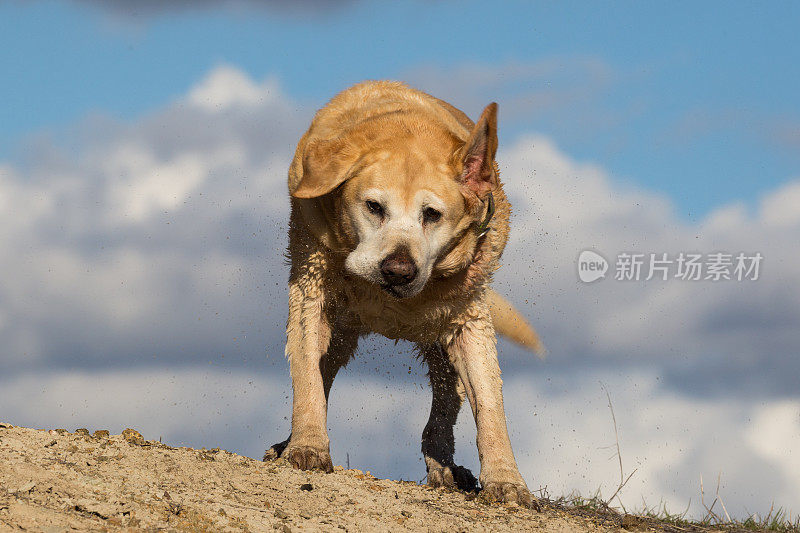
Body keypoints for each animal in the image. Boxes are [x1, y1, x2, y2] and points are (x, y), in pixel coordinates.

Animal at [266, 81, 540, 504]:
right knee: (322, 371)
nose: (397, 270)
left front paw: (505, 480)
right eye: (373, 206)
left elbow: (490, 404)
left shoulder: (469, 320)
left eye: (432, 214)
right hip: (341, 331)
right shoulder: (310, 287)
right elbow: (308, 374)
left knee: (444, 406)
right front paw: (308, 445)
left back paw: (446, 466)